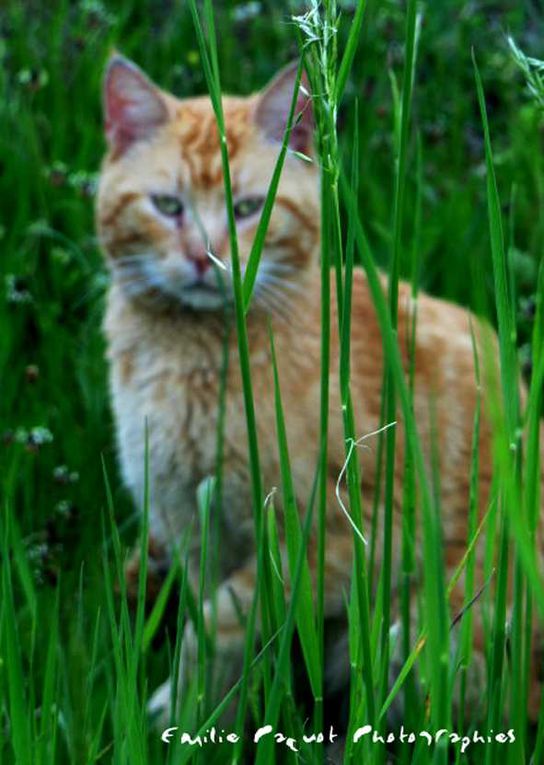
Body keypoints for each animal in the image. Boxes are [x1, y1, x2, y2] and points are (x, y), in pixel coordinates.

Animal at [95, 53, 540, 724]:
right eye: (168, 206)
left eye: (248, 208)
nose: (204, 257)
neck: (194, 360)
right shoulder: (195, 532)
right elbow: (218, 637)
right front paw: (207, 716)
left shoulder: (352, 537)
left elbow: (220, 624)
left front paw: (181, 710)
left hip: (431, 627)